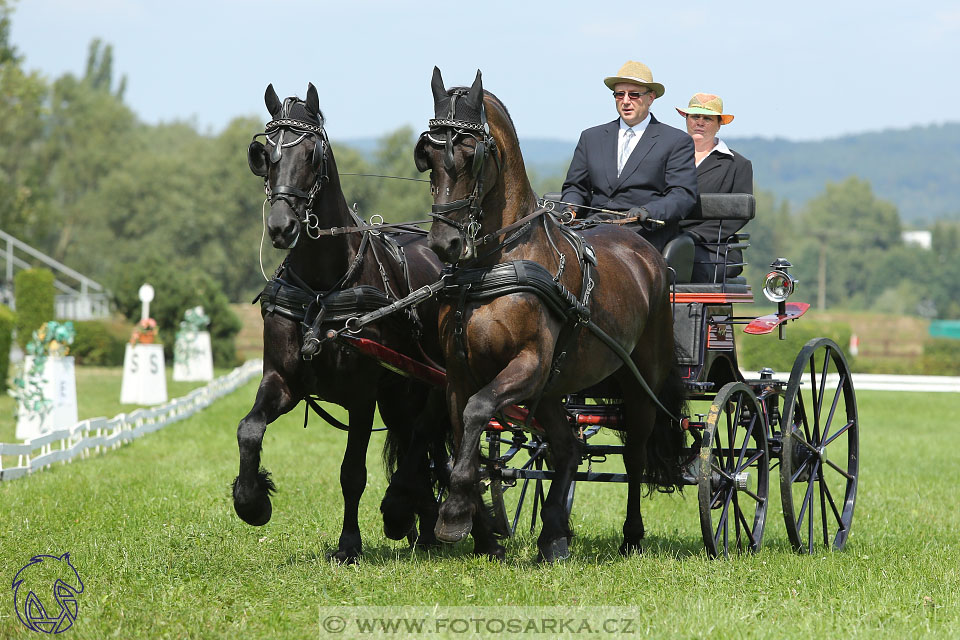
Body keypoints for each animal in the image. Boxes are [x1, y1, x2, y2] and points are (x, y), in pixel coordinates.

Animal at [232, 82, 450, 564]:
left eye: (312, 155)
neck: (321, 287)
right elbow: (249, 430)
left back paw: (407, 514)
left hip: (427, 385)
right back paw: (419, 523)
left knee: (424, 437)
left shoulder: (361, 396)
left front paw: (349, 544)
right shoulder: (282, 380)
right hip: (399, 392)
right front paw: (252, 502)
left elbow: (352, 473)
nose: (281, 226)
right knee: (414, 441)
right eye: (265, 153)